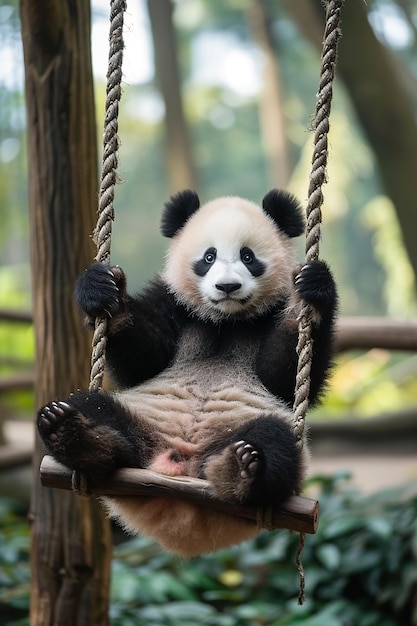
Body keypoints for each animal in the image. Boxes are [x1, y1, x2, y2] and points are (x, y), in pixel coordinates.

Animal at [35, 188, 334, 552]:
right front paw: (103, 291)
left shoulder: (271, 314)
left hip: (246, 434)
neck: (226, 320)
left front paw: (312, 293)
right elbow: (145, 359)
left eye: (248, 257)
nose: (227, 287)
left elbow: (284, 378)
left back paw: (242, 469)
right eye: (209, 257)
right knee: (96, 411)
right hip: (141, 420)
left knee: (275, 440)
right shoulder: (173, 303)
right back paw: (74, 434)